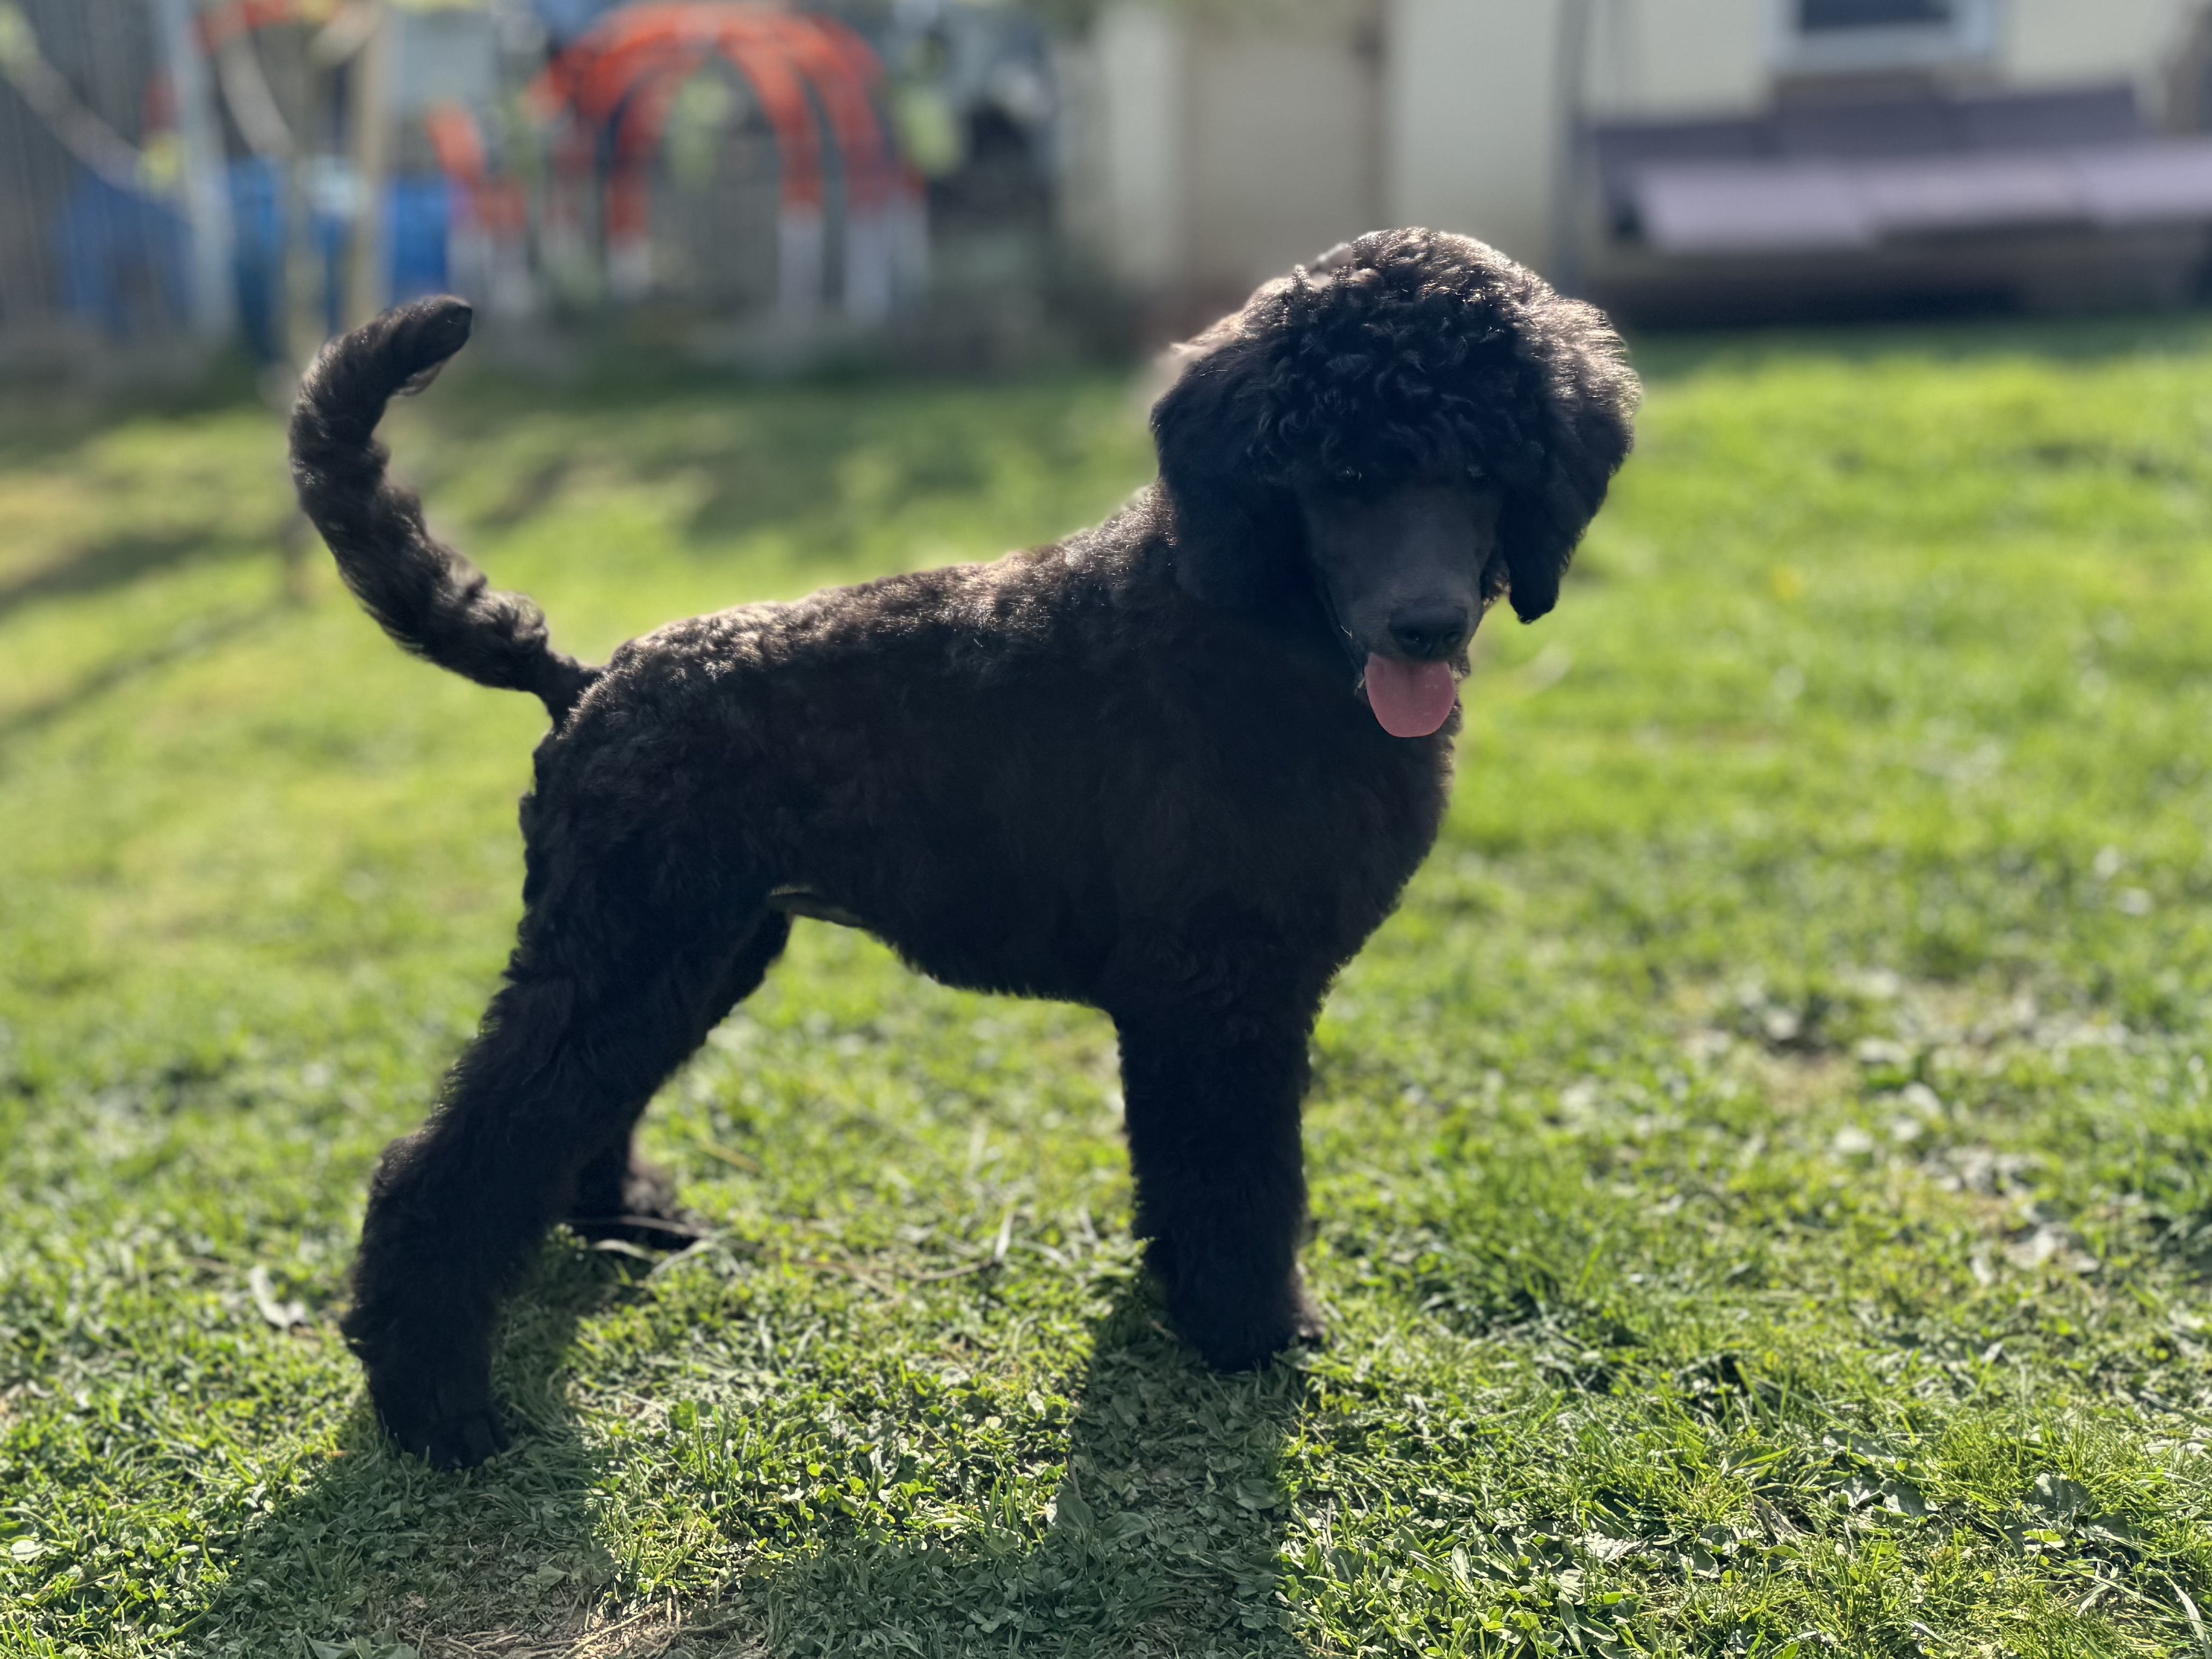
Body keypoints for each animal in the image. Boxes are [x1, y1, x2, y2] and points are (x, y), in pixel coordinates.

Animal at [290, 227, 1638, 1468]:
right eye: (1343, 468)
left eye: (1484, 462)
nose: (1428, 623)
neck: (1253, 628)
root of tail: (586, 680)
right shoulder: (1219, 999)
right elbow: (1240, 1183)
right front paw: (1250, 1331)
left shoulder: (1216, 1003)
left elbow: (1195, 1183)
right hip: (628, 953)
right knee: (443, 1168)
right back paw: (436, 1406)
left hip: (684, 954)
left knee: (573, 1111)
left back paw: (621, 1218)